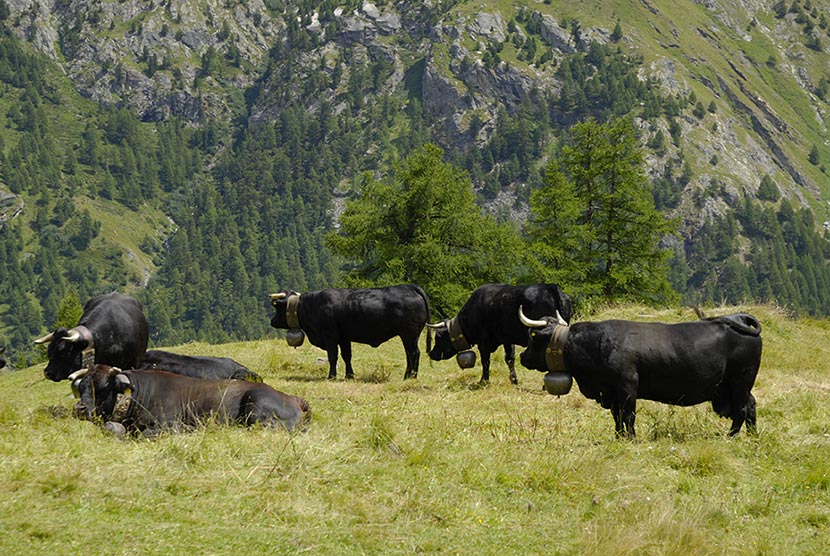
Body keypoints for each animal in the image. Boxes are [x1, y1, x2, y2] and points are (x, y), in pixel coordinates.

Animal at [70, 362, 312, 436]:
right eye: (81, 387)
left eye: (102, 387)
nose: (79, 408)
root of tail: (294, 398)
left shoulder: (167, 424)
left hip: (257, 409)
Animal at [270, 284, 432, 380]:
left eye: (277, 306)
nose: (272, 321)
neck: (310, 305)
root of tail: (410, 287)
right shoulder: (344, 338)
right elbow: (347, 356)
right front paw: (349, 375)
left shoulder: (330, 335)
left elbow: (333, 356)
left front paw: (332, 376)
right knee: (410, 354)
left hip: (409, 334)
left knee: (413, 353)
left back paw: (410, 376)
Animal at [428, 284, 572, 384]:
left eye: (438, 336)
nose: (431, 353)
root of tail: (550, 286)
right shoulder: (508, 340)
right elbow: (510, 359)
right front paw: (514, 380)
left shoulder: (484, 342)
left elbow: (485, 361)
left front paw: (484, 381)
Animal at [520, 306, 768, 436]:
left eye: (533, 336)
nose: (522, 357)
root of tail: (735, 318)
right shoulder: (611, 392)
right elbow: (617, 416)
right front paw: (619, 437)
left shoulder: (627, 385)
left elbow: (628, 414)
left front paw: (630, 438)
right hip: (733, 386)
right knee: (751, 406)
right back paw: (752, 436)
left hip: (740, 381)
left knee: (742, 409)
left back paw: (731, 436)